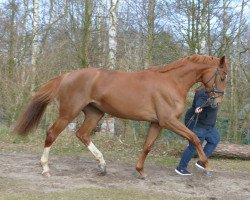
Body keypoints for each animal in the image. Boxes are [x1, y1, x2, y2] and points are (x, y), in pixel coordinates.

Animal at [14, 54, 229, 178]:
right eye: (223, 76)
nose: (217, 102)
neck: (172, 82)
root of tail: (67, 76)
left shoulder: (157, 123)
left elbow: (147, 146)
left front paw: (140, 171)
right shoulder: (169, 121)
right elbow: (194, 138)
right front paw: (206, 165)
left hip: (95, 113)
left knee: (82, 134)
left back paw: (102, 165)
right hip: (69, 113)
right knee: (52, 134)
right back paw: (45, 168)